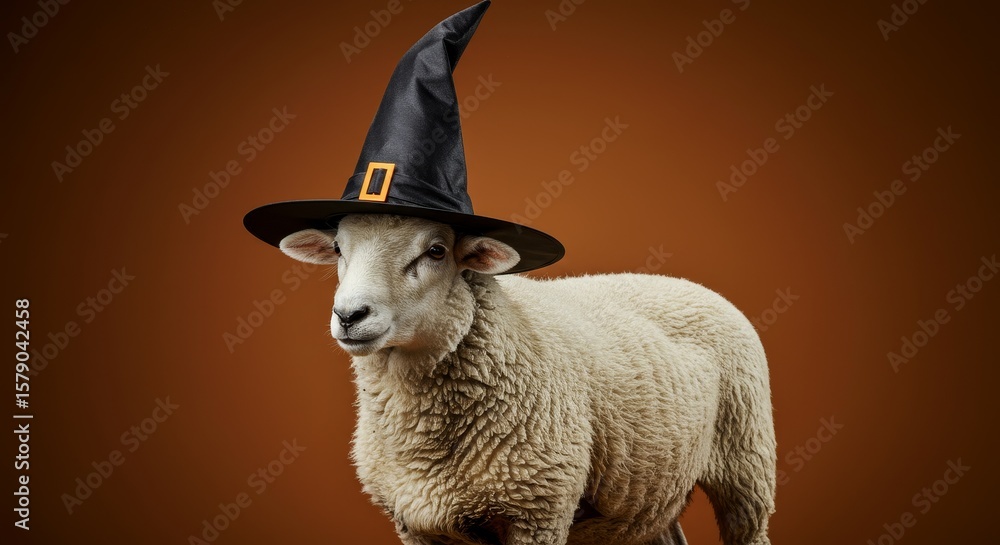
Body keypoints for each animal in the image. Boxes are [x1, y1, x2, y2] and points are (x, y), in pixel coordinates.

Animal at [279, 214, 777, 545]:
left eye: (436, 251)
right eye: (338, 249)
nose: (349, 315)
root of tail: (685, 283)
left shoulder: (537, 512)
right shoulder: (414, 523)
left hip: (746, 465)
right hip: (647, 487)